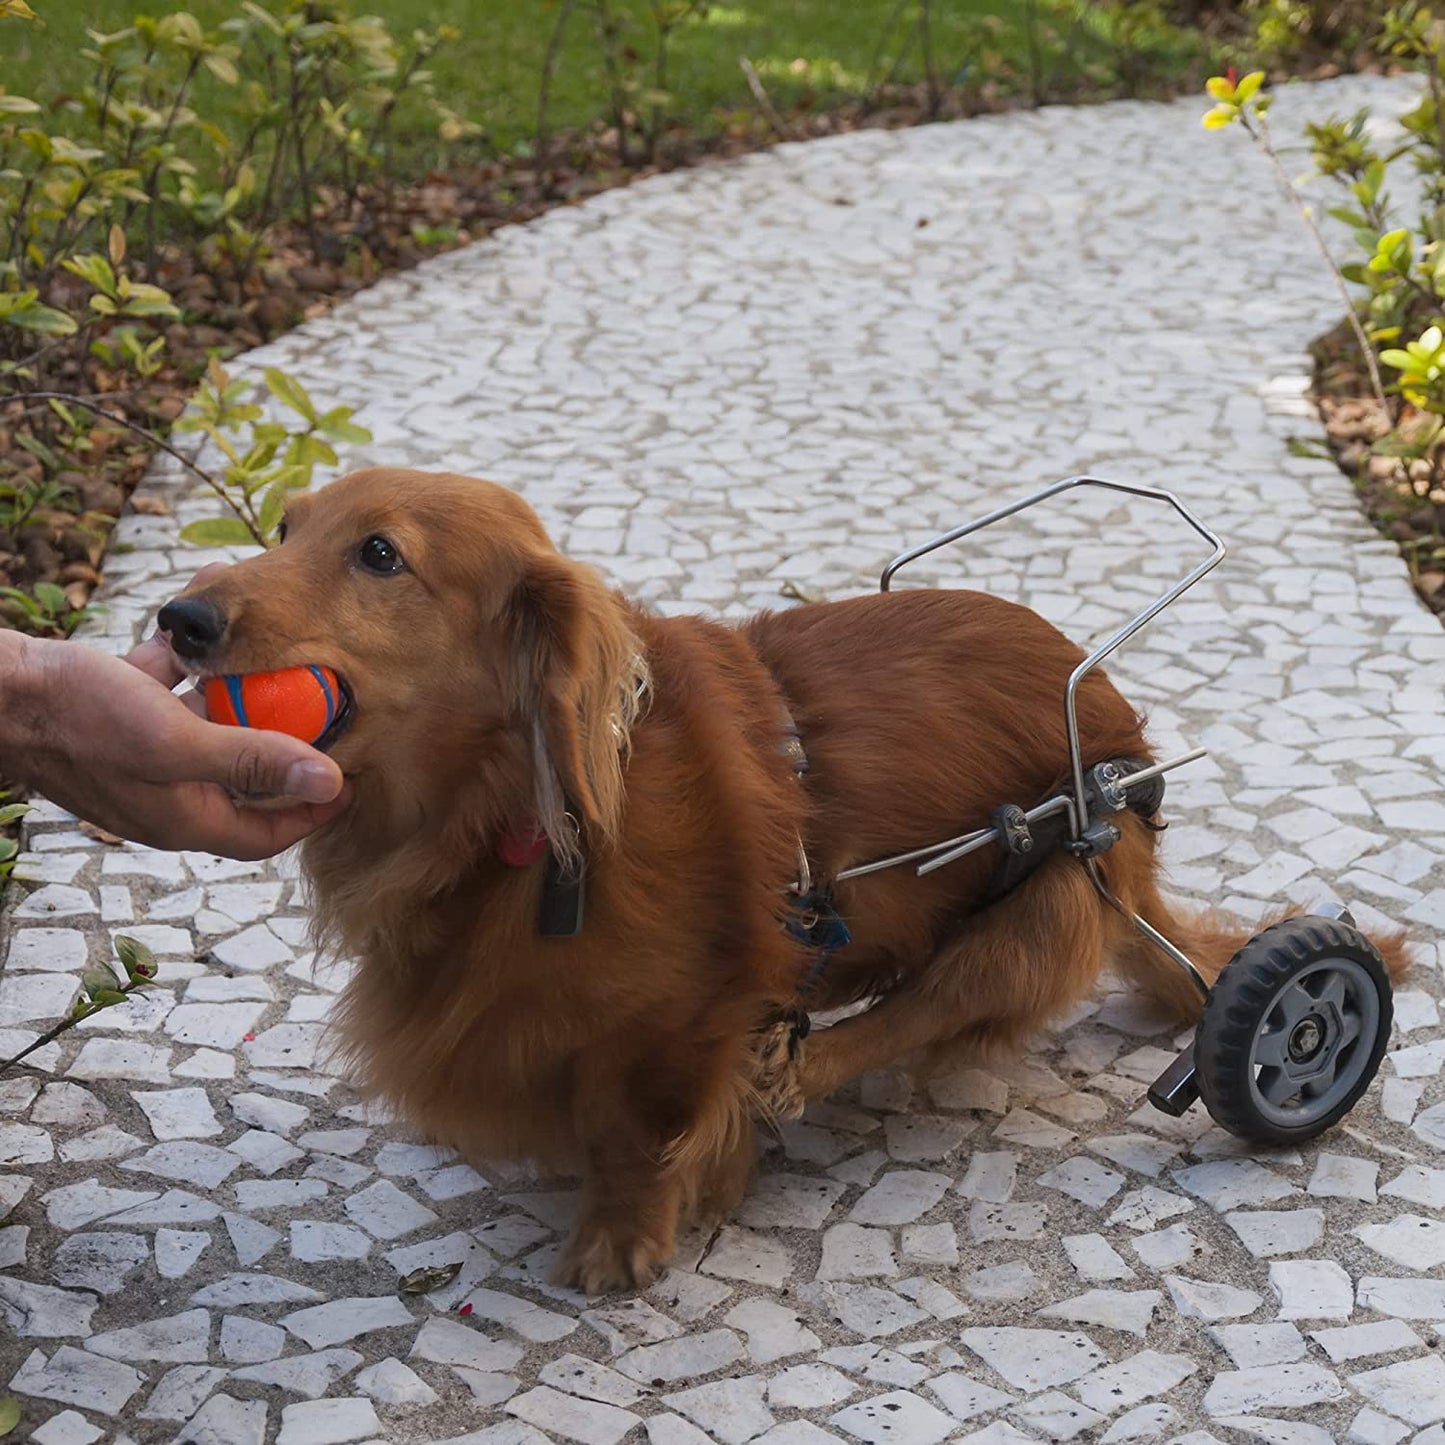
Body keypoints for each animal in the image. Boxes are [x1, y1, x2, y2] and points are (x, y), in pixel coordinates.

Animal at [161, 468, 1410, 1294]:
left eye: (380, 554)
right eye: (283, 526)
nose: (179, 618)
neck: (506, 819)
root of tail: (1119, 748)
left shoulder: (675, 1023)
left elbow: (632, 1129)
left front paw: (620, 1233)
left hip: (1051, 887)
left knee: (926, 1006)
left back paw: (797, 1066)